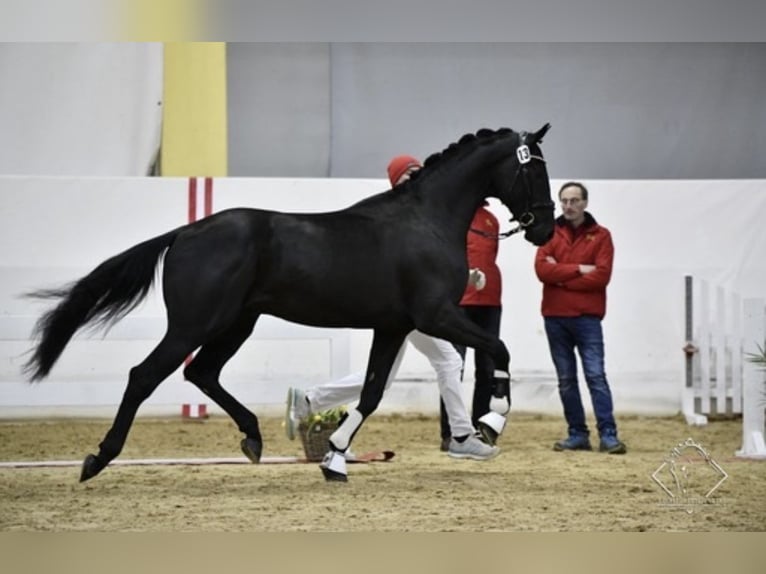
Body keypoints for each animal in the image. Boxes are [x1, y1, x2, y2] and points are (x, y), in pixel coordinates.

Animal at [22, 125, 552, 482]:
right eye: (533, 168)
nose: (545, 228)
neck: (426, 221)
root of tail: (185, 233)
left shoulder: (394, 327)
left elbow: (371, 394)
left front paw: (334, 460)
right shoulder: (436, 315)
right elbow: (499, 350)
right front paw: (490, 423)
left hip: (236, 323)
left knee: (202, 373)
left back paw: (253, 438)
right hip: (194, 325)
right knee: (144, 376)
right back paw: (97, 459)